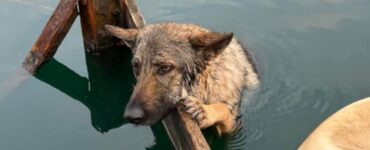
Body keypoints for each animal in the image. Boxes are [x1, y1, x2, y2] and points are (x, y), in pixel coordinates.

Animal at [105, 22, 258, 133]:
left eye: (165, 68)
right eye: (136, 66)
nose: (130, 117)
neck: (207, 84)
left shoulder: (234, 127)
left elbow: (223, 108)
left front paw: (204, 111)